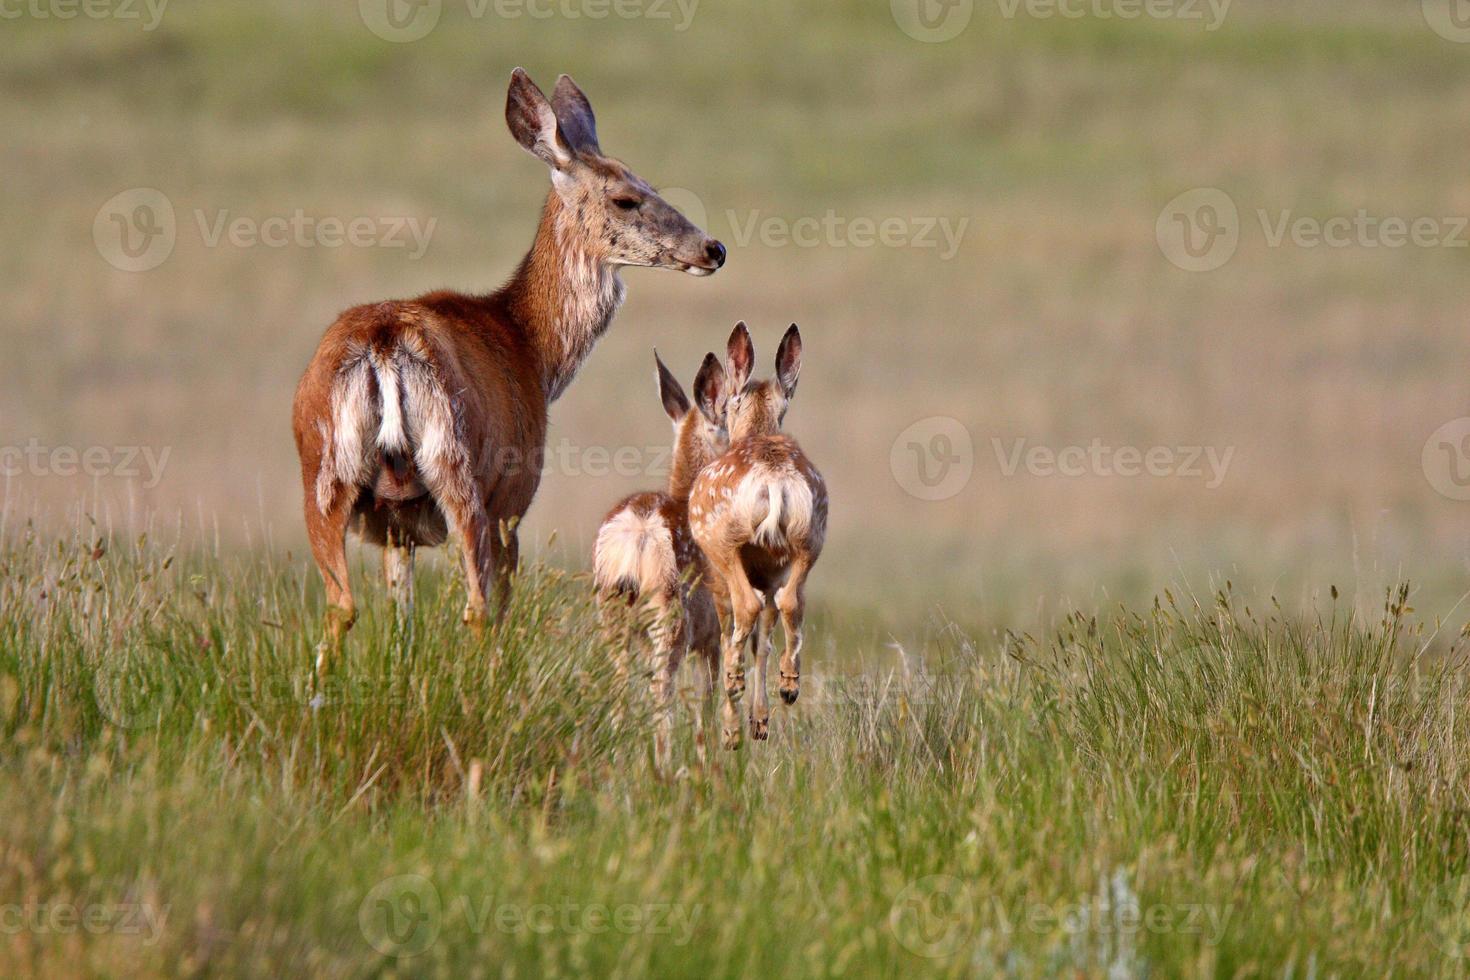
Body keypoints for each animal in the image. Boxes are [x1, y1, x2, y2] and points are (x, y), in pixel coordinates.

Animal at [289, 67, 726, 667]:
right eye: (626, 198)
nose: (713, 248)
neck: (532, 350)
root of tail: (384, 343)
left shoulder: (394, 524)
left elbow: (402, 619)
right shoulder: (514, 496)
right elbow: (497, 607)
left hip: (324, 470)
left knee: (341, 606)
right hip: (459, 467)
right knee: (475, 607)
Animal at [690, 323, 829, 752]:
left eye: (727, 408)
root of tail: (774, 481)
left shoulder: (717, 575)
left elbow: (729, 630)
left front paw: (737, 725)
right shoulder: (770, 569)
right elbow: (763, 639)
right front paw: (759, 721)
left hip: (724, 545)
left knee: (745, 609)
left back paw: (733, 707)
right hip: (808, 540)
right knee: (787, 603)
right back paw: (788, 689)